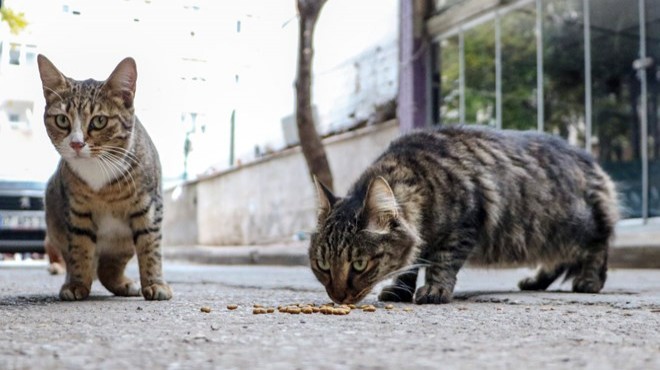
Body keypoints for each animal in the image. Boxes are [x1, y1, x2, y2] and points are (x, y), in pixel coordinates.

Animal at [37, 55, 173, 304]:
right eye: (62, 120)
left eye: (99, 121)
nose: (76, 143)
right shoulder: (77, 211)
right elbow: (80, 249)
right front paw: (77, 284)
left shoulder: (148, 206)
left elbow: (150, 245)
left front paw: (155, 284)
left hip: (123, 243)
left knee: (109, 267)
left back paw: (124, 284)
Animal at [310, 124, 620, 304]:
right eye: (322, 266)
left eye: (359, 265)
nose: (338, 297)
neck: (420, 179)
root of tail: (591, 160)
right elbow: (409, 266)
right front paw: (399, 291)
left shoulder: (464, 225)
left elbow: (441, 263)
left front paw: (434, 291)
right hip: (547, 236)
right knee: (558, 260)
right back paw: (534, 281)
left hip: (573, 226)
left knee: (597, 246)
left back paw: (589, 281)